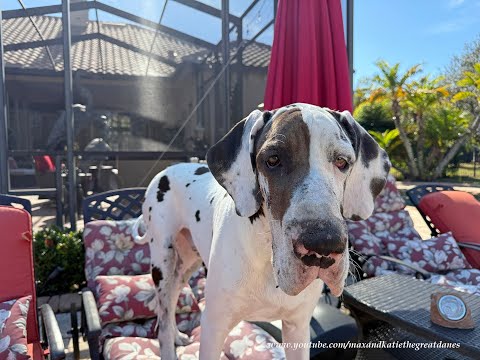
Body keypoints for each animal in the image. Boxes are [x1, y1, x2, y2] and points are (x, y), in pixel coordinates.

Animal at [134, 102, 390, 358]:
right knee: (163, 318)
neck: (267, 256)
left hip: (186, 264)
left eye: (342, 161)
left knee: (174, 298)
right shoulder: (213, 328)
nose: (324, 244)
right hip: (163, 264)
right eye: (273, 159)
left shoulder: (298, 327)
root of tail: (167, 170)